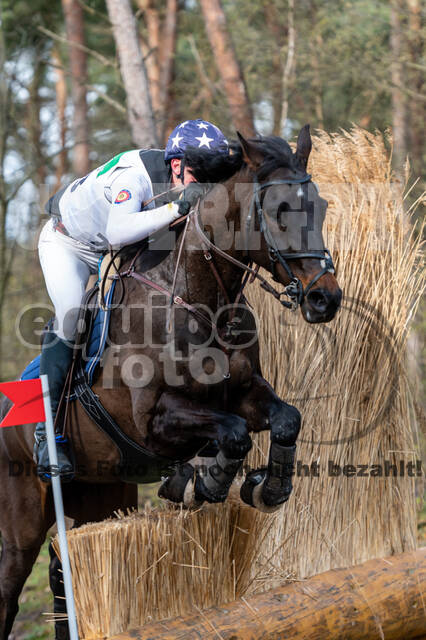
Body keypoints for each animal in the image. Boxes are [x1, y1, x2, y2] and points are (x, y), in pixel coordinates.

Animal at [0, 126, 340, 640]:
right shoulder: (153, 421)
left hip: (102, 497)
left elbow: (286, 419)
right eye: (280, 209)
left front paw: (264, 487)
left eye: (318, 205)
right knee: (8, 591)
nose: (325, 298)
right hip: (19, 524)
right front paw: (203, 483)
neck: (199, 298)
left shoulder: (245, 392)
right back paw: (48, 446)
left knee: (64, 572)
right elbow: (233, 434)